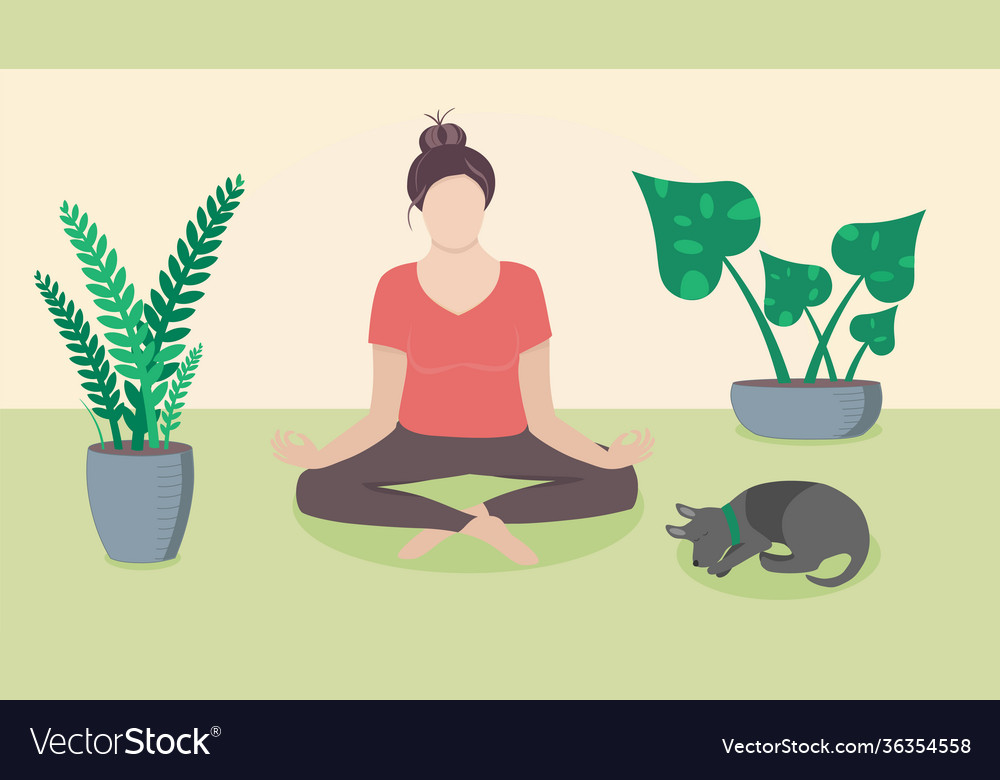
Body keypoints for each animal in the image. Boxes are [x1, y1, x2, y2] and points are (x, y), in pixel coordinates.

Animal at [668, 482, 872, 584]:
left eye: (701, 537)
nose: (695, 563)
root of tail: (864, 538)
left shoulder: (758, 541)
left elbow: (735, 554)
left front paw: (717, 568)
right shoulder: (744, 541)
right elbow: (732, 551)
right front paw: (723, 571)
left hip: (794, 520)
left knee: (809, 563)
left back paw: (768, 561)